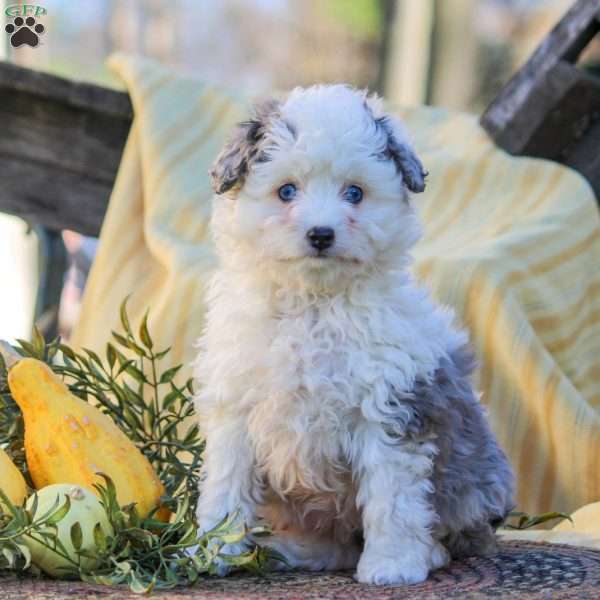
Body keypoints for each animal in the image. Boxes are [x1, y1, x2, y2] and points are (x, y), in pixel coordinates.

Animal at [195, 85, 512, 584]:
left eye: (355, 193)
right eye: (287, 190)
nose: (321, 234)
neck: (312, 305)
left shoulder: (390, 408)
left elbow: (392, 498)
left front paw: (393, 565)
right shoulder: (236, 407)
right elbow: (226, 486)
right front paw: (212, 552)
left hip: (472, 484)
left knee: (459, 536)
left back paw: (427, 554)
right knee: (335, 544)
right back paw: (296, 550)